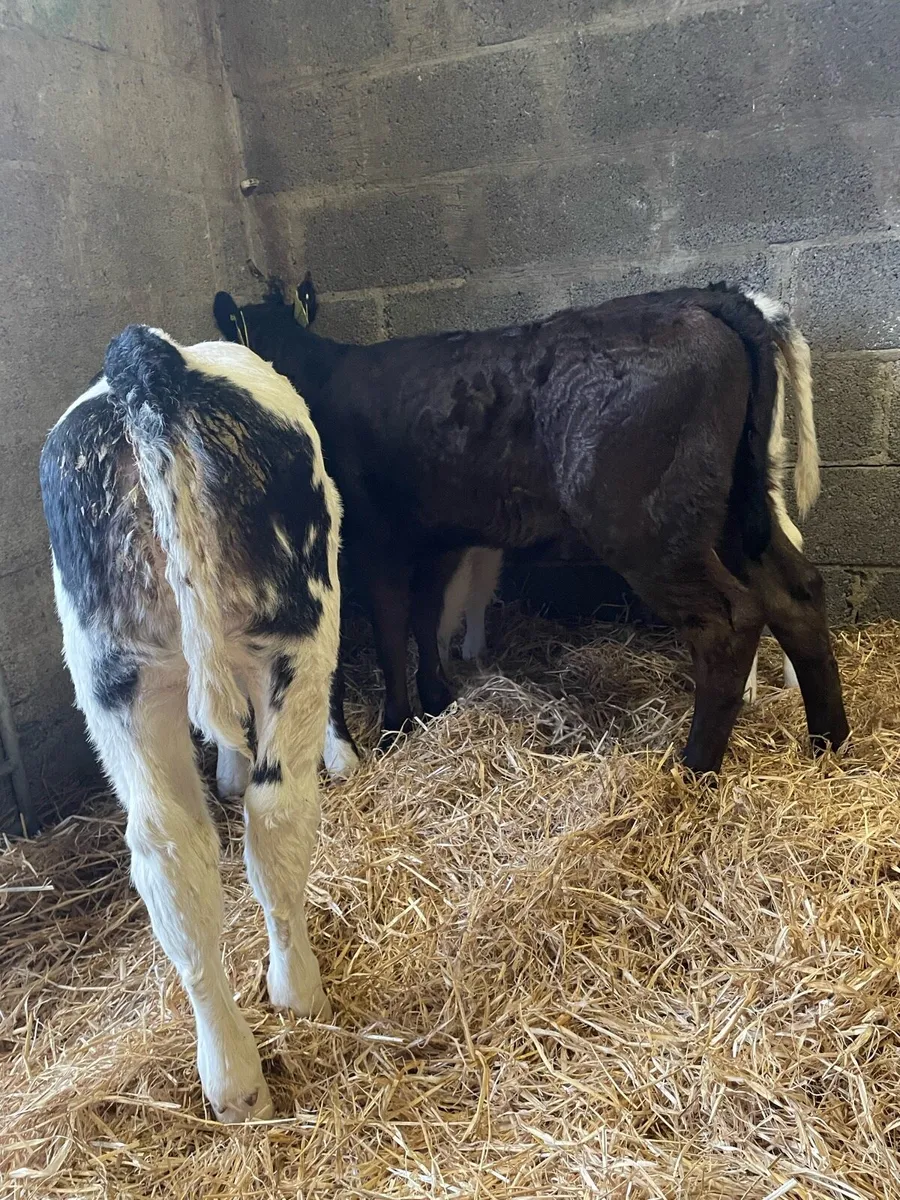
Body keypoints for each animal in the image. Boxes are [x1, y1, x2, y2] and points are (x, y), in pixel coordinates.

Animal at [40, 326, 347, 1121]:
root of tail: (147, 362)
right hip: (298, 626)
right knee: (278, 816)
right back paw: (297, 994)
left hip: (113, 674)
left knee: (169, 850)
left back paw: (231, 1078)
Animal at [213, 279, 849, 775]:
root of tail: (710, 298)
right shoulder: (436, 537)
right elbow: (425, 616)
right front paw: (436, 700)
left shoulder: (377, 538)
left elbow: (393, 627)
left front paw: (396, 724)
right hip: (737, 509)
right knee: (796, 592)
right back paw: (829, 742)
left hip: (649, 528)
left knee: (728, 621)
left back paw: (695, 769)